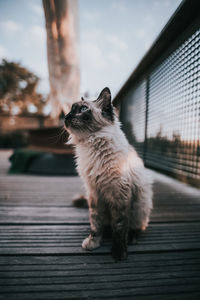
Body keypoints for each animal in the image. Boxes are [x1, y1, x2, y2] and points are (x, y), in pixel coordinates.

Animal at [65, 87, 152, 260]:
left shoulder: (120, 193)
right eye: (71, 110)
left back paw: (131, 238)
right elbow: (96, 223)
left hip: (141, 205)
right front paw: (94, 242)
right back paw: (106, 233)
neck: (92, 145)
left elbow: (119, 226)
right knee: (105, 224)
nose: (66, 116)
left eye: (83, 109)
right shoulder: (94, 193)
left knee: (136, 226)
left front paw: (118, 253)